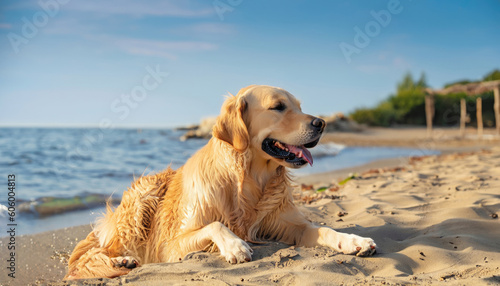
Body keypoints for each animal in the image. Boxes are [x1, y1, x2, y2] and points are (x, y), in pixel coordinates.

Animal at [64, 84, 376, 280]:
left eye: (300, 106)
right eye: (278, 107)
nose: (322, 123)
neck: (249, 180)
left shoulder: (288, 224)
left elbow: (323, 229)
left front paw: (354, 240)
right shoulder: (170, 245)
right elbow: (216, 224)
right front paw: (235, 246)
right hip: (142, 200)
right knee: (90, 257)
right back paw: (121, 261)